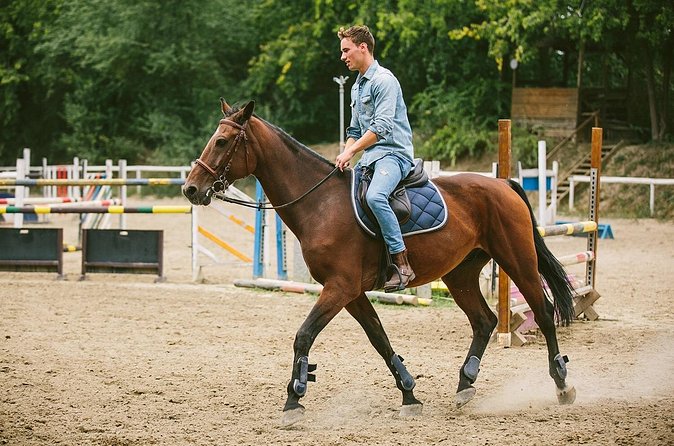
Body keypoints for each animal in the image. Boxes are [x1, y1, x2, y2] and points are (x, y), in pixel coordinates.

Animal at [183, 99, 577, 427]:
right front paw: (409, 394)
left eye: (221, 142)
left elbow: (304, 336)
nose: (190, 189)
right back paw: (465, 385)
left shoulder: (339, 288)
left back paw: (562, 385)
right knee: (484, 321)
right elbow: (379, 339)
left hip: (517, 258)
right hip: (460, 274)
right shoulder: (351, 292)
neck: (321, 203)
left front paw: (294, 399)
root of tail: (503, 185)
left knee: (543, 313)